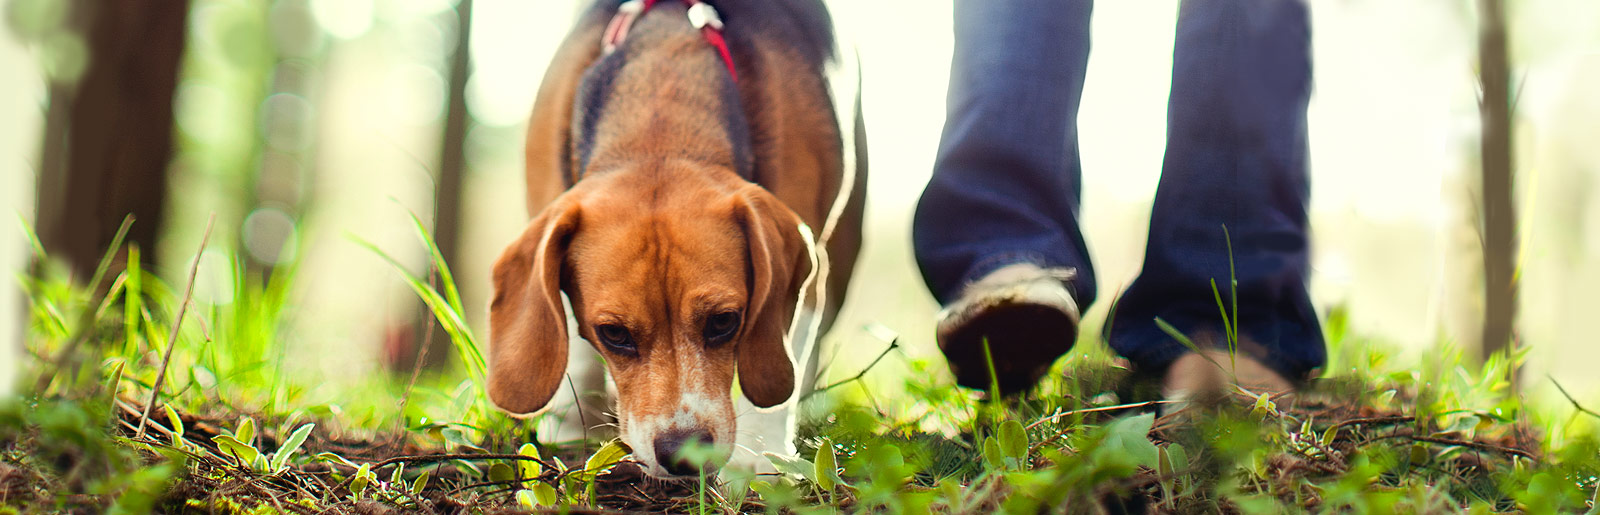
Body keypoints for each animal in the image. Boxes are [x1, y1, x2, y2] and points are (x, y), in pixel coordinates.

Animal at [483, 0, 864, 479]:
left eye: (724, 322)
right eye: (613, 333)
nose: (685, 454)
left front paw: (760, 459)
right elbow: (566, 323)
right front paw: (571, 423)